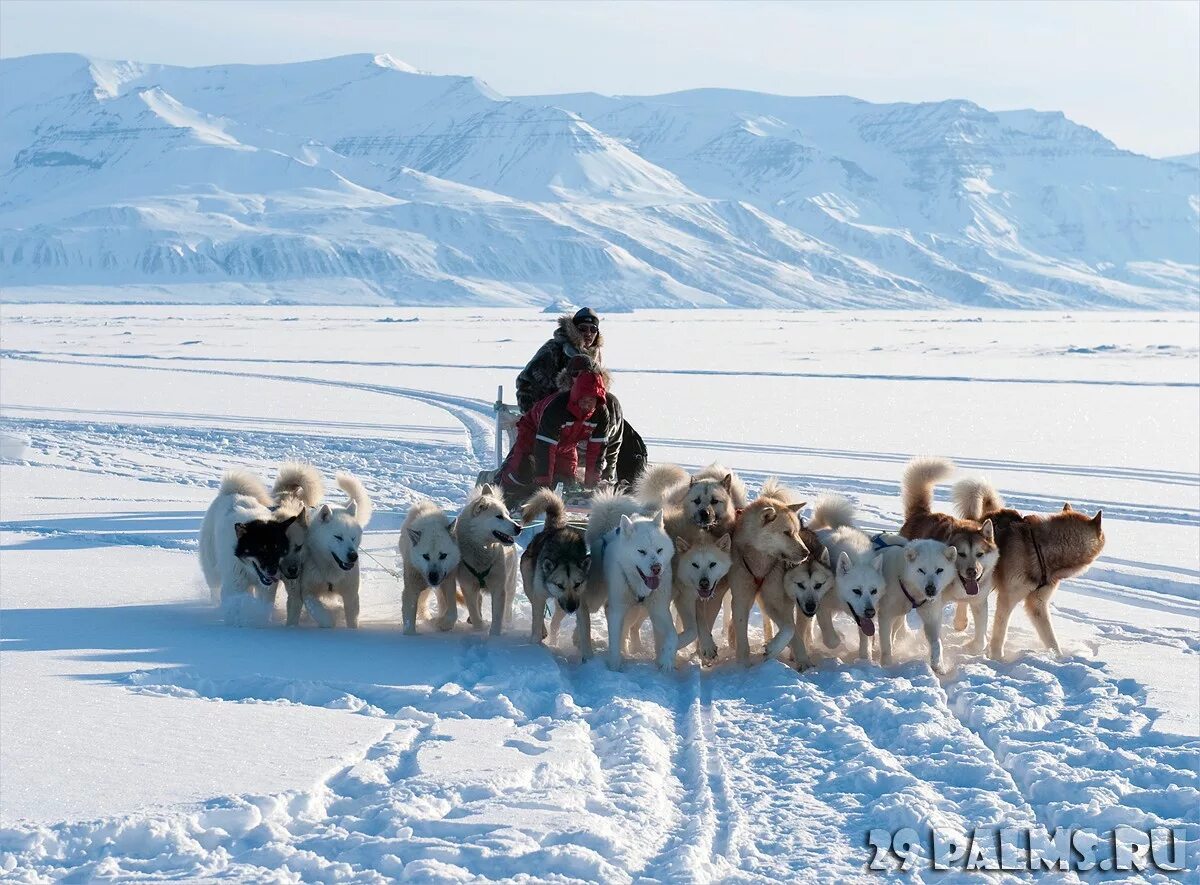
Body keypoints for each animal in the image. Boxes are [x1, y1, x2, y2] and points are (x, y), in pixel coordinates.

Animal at [400, 496, 460, 633]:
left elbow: (452, 611)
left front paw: (443, 624)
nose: (433, 577)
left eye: (443, 555)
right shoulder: (411, 588)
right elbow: (409, 619)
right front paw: (410, 635)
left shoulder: (448, 582)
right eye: (425, 556)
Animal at [902, 458, 1003, 652]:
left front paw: (973, 648)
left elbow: (981, 638)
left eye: (980, 554)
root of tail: (921, 513)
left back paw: (960, 621)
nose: (972, 571)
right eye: (961, 553)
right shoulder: (935, 603)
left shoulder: (979, 601)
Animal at [955, 474, 1104, 657]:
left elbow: (1050, 638)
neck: (1041, 549)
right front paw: (997, 658)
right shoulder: (1007, 598)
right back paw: (961, 622)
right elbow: (1000, 633)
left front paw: (1058, 658)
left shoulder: (1037, 604)